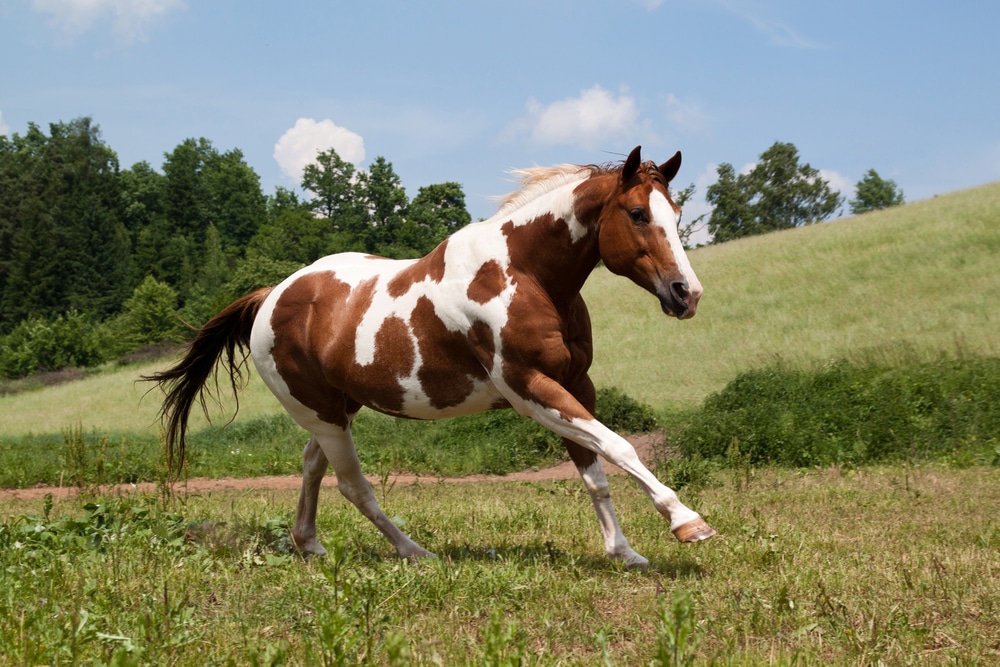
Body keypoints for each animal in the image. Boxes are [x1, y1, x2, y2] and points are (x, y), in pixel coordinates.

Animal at [145, 146, 716, 568]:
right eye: (637, 214)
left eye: (676, 215)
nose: (687, 294)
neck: (524, 272)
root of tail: (271, 296)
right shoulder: (530, 387)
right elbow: (619, 447)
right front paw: (686, 522)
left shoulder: (575, 382)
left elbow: (594, 470)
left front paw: (624, 552)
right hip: (325, 415)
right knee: (354, 486)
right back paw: (415, 552)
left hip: (336, 408)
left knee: (311, 466)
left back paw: (310, 544)